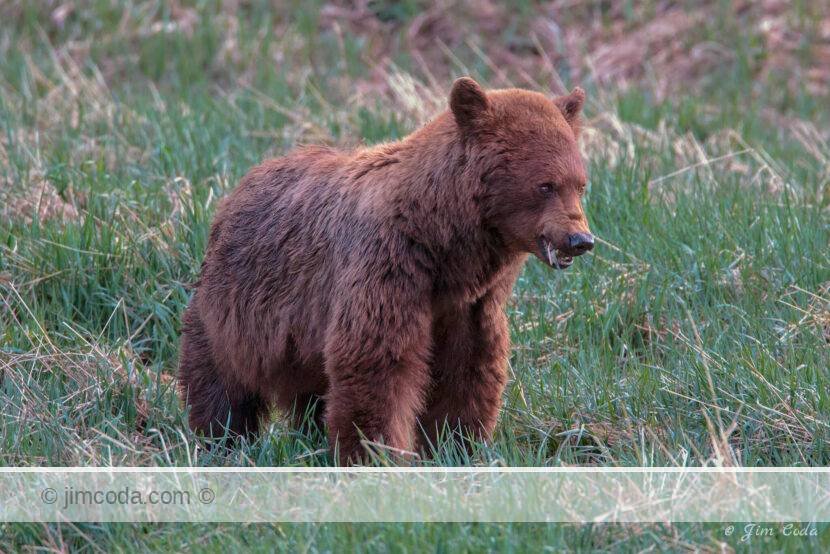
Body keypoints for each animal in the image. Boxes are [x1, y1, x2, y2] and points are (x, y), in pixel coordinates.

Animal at [178, 77, 594, 464]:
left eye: (580, 185)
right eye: (545, 185)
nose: (581, 239)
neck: (445, 243)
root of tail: (239, 186)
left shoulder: (469, 304)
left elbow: (467, 370)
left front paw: (456, 445)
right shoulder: (388, 267)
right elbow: (378, 363)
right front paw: (377, 452)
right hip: (237, 304)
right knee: (221, 380)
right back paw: (221, 439)